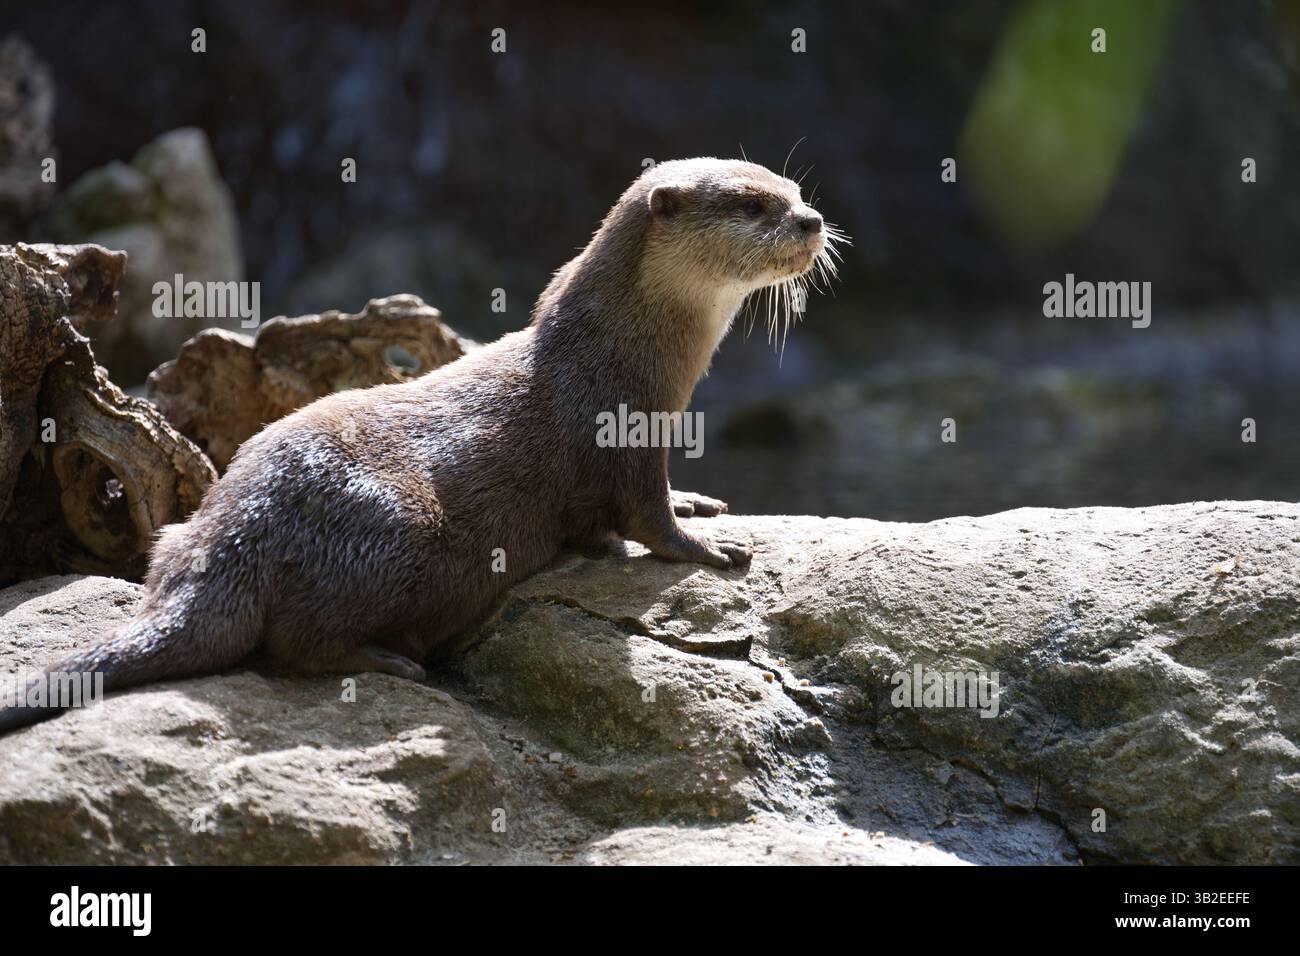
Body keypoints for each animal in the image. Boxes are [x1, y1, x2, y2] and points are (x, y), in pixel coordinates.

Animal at [0, 157, 842, 732]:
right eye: (753, 203)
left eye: (792, 187)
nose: (811, 221)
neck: (621, 353)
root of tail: (234, 539)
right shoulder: (623, 433)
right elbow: (648, 520)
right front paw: (709, 548)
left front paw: (701, 501)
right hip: (401, 533)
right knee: (298, 645)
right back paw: (392, 663)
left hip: (188, 530)